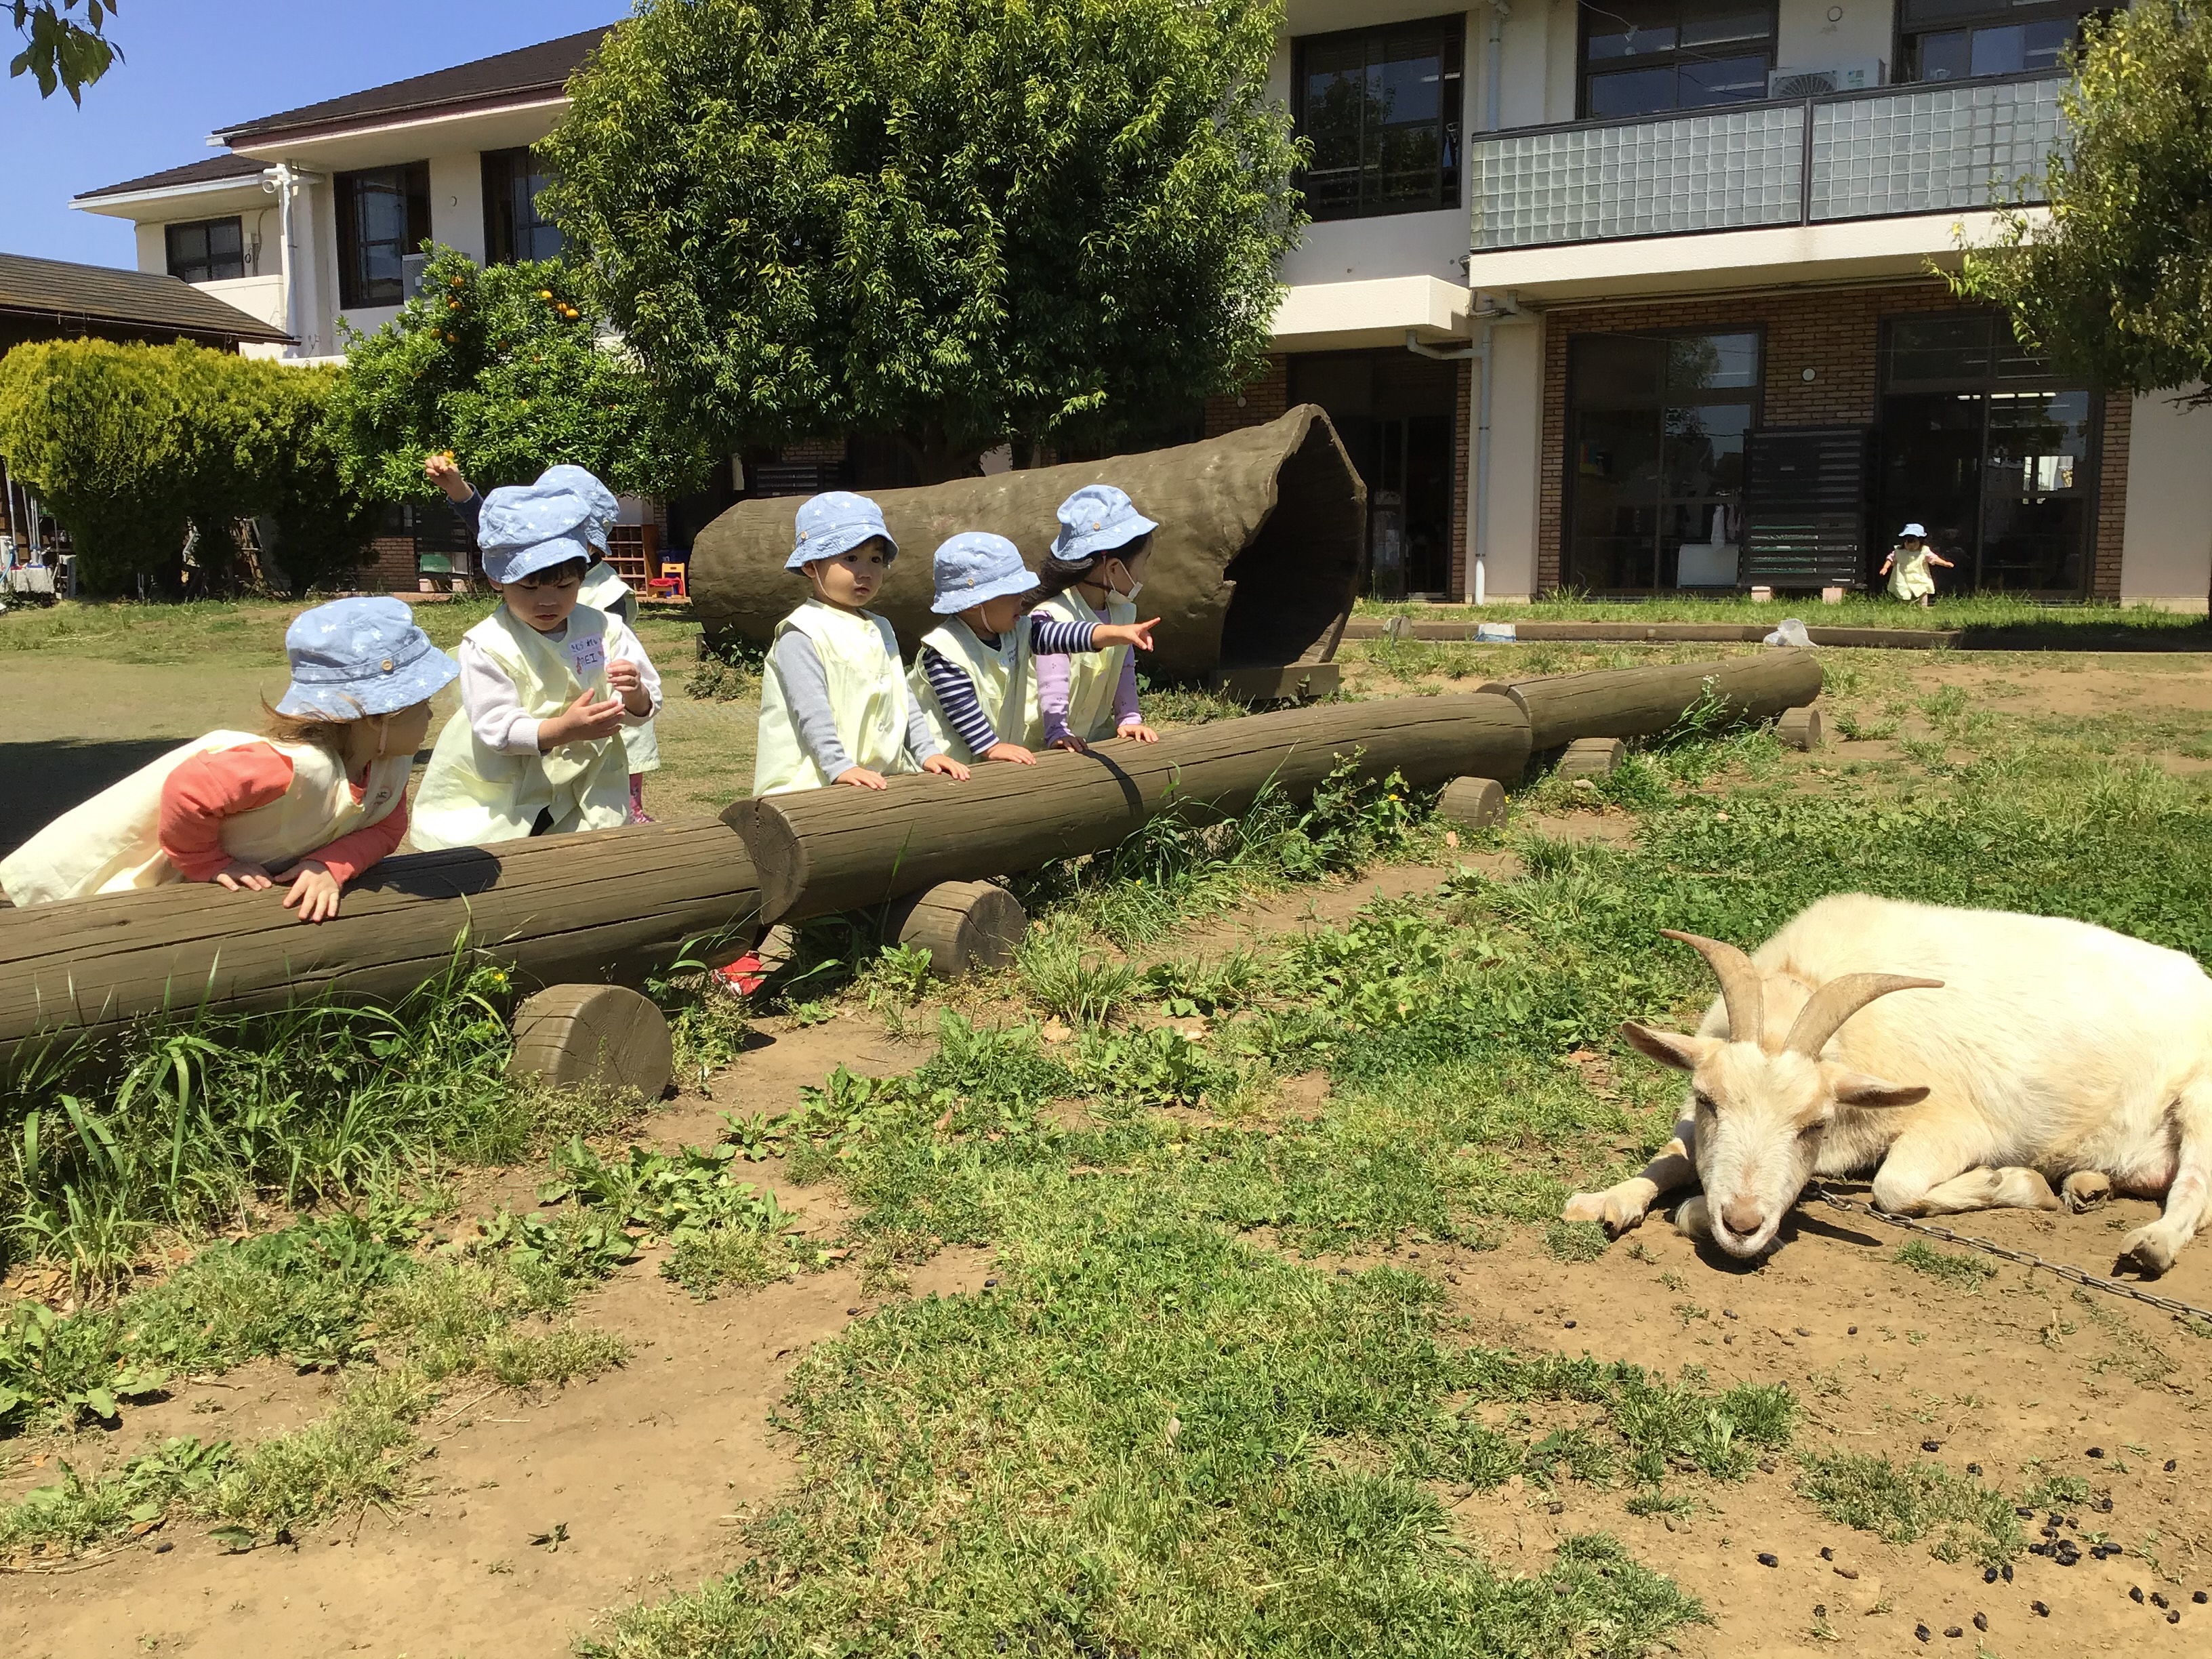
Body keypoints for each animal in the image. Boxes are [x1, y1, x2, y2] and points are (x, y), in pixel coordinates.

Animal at [1565, 898, 2212, 1274]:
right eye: (1708, 1101)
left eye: (1815, 1124)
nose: (1744, 1224)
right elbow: (1674, 1154)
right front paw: (1606, 1200)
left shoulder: (1958, 1121)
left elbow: (1893, 1189)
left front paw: (2014, 1182)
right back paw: (2087, 1184)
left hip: (2201, 1102)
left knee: (2194, 1193)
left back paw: (2152, 1242)